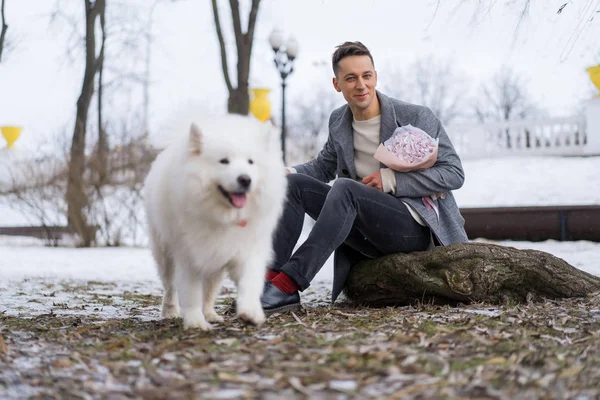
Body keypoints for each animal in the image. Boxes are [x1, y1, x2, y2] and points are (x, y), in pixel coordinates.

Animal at [144, 114, 288, 330]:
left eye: (251, 162)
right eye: (224, 161)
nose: (245, 179)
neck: (225, 216)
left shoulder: (245, 249)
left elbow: (250, 281)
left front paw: (250, 312)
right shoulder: (189, 255)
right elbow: (191, 292)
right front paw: (195, 322)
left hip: (216, 263)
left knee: (210, 290)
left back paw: (210, 314)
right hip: (165, 253)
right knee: (169, 287)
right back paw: (170, 312)